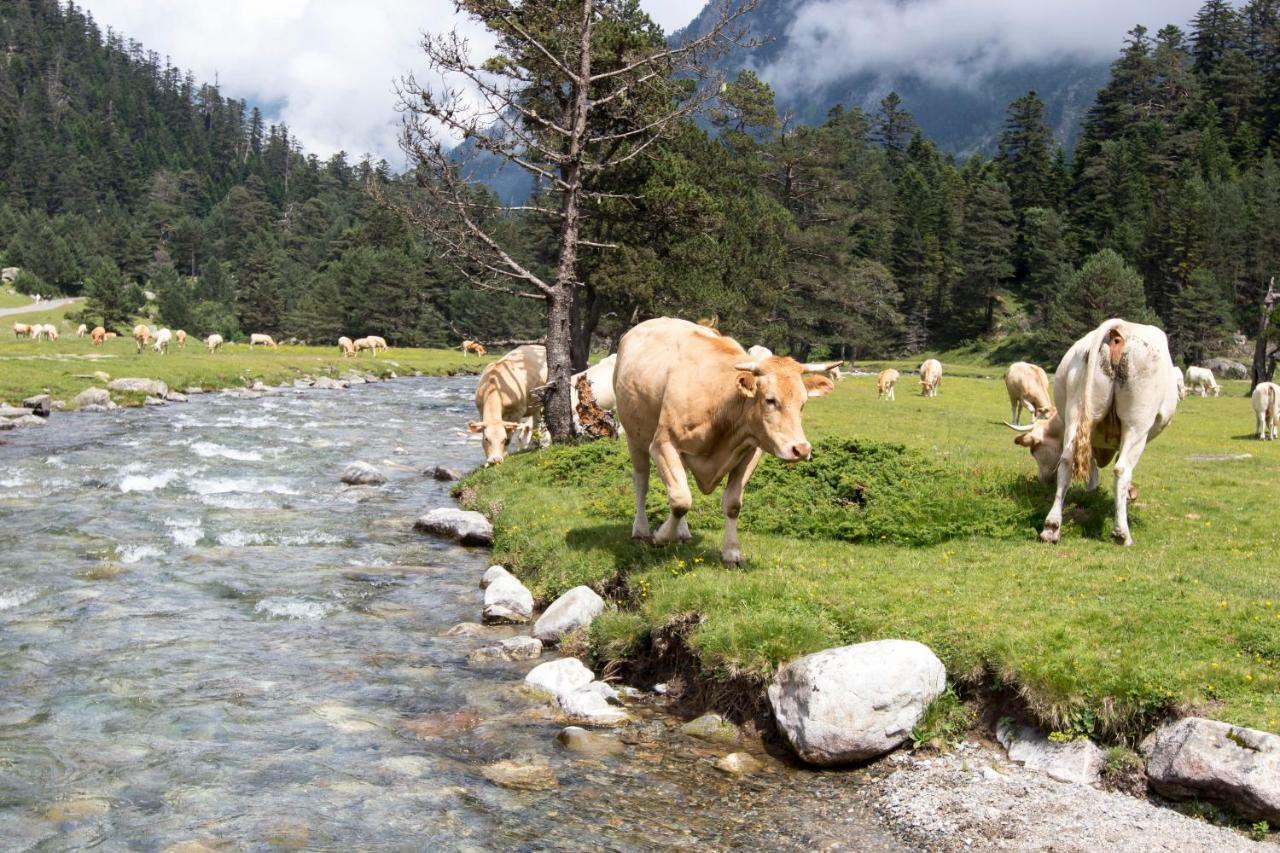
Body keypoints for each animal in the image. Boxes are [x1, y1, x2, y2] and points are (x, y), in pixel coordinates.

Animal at [611, 315, 839, 560]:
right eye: (770, 400)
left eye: (803, 403)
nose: (801, 449)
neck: (721, 404)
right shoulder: (663, 444)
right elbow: (680, 500)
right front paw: (662, 536)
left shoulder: (750, 452)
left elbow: (731, 504)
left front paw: (732, 551)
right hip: (635, 437)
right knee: (642, 482)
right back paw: (641, 529)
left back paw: (682, 532)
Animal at [998, 318, 1177, 545]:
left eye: (1033, 451)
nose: (1043, 481)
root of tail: (1117, 328)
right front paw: (1126, 494)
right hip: (1137, 423)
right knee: (1122, 468)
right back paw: (1121, 533)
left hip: (1076, 408)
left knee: (1066, 462)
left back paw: (1051, 527)